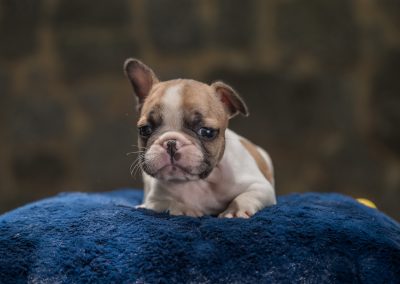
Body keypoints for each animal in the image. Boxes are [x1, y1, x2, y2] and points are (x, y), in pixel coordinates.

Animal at [124, 57, 276, 217]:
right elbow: (170, 202)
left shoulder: (260, 187)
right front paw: (184, 210)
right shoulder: (155, 200)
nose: (171, 142)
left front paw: (235, 211)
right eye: (144, 130)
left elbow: (245, 196)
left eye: (207, 132)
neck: (201, 182)